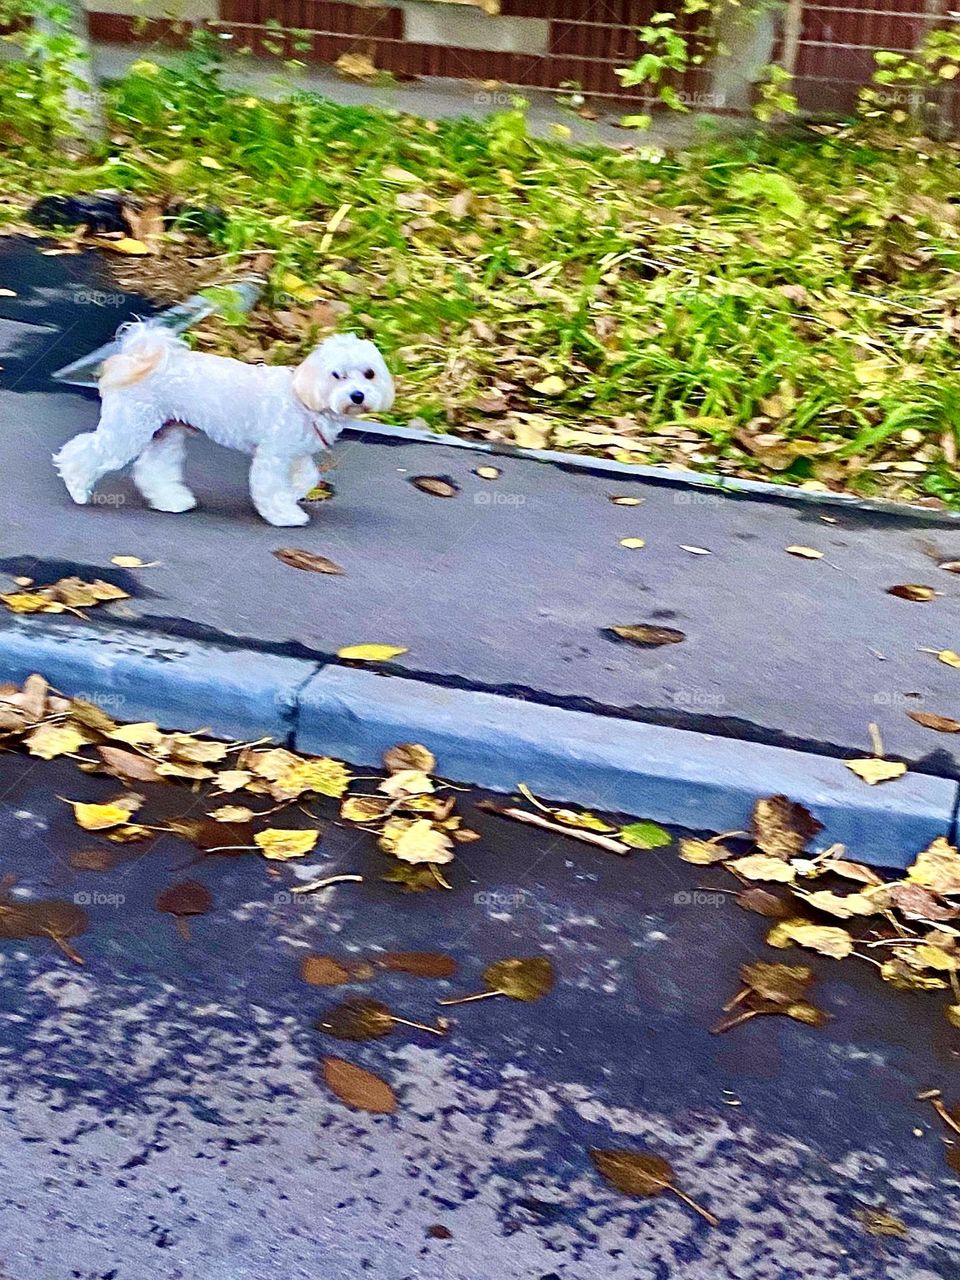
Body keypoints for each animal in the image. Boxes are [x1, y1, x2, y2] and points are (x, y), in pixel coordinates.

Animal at [54, 325, 394, 524]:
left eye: (369, 373)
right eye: (337, 375)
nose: (358, 395)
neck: (304, 396)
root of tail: (139, 359)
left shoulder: (295, 454)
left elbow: (307, 477)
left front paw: (292, 494)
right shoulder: (273, 455)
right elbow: (270, 486)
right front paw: (283, 512)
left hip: (165, 431)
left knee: (152, 468)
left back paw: (171, 500)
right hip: (129, 427)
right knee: (86, 452)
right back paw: (77, 487)